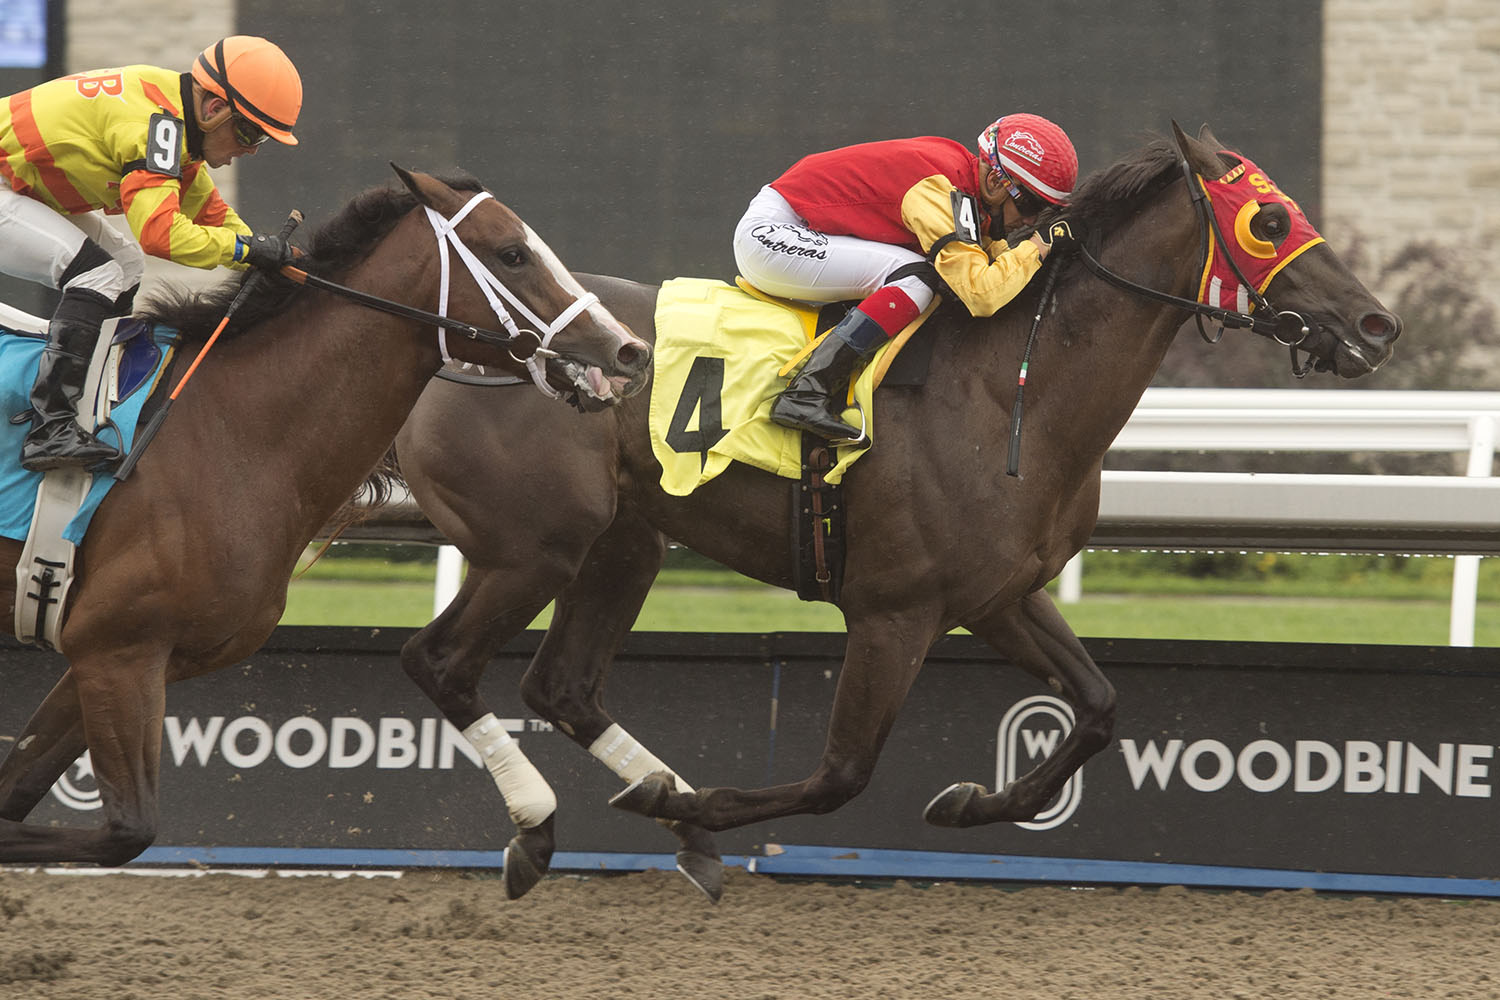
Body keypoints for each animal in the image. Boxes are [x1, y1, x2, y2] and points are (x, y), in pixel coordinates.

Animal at [1, 166, 657, 869]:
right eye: (512, 253)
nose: (630, 350)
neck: (230, 431)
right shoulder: (118, 650)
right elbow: (122, 829)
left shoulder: (126, 656)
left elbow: (24, 792)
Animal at [393, 122, 1398, 899]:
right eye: (1271, 221)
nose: (1379, 327)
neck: (1010, 390)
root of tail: (458, 343)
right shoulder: (895, 612)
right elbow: (841, 774)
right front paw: (695, 804)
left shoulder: (998, 597)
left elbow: (1099, 707)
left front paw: (975, 801)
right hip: (533, 550)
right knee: (440, 662)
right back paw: (555, 827)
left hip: (623, 542)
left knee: (559, 685)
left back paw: (661, 817)